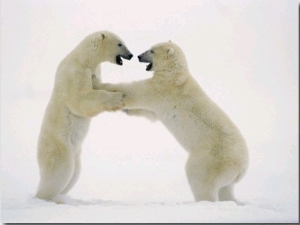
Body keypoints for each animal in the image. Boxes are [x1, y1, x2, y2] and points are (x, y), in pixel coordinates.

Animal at [36, 30, 132, 204]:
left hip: (76, 153)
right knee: (61, 173)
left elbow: (99, 85)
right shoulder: (75, 73)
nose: (131, 55)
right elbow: (81, 99)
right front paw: (119, 97)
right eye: (120, 43)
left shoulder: (94, 71)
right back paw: (51, 198)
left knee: (74, 174)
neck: (84, 58)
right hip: (59, 147)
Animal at [95, 41, 250, 201]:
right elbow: (149, 114)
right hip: (228, 173)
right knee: (226, 189)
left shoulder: (162, 89)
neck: (175, 75)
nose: (138, 56)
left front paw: (99, 84)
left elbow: (135, 92)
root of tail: (243, 167)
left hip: (212, 158)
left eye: (152, 51)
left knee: (200, 179)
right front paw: (122, 108)